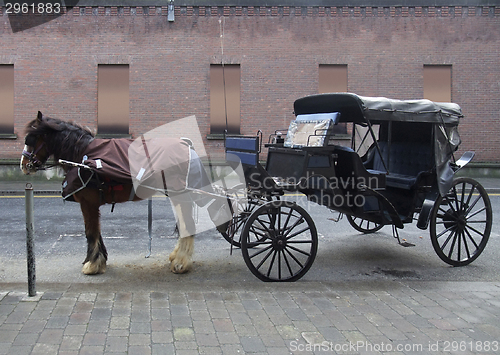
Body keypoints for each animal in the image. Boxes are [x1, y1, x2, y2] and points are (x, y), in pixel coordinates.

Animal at [21, 111, 221, 276]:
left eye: (31, 139)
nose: (23, 165)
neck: (83, 157)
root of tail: (187, 146)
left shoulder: (87, 202)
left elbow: (91, 232)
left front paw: (92, 265)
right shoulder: (92, 204)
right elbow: (96, 231)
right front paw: (99, 260)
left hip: (180, 195)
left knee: (188, 226)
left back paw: (181, 263)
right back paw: (176, 257)